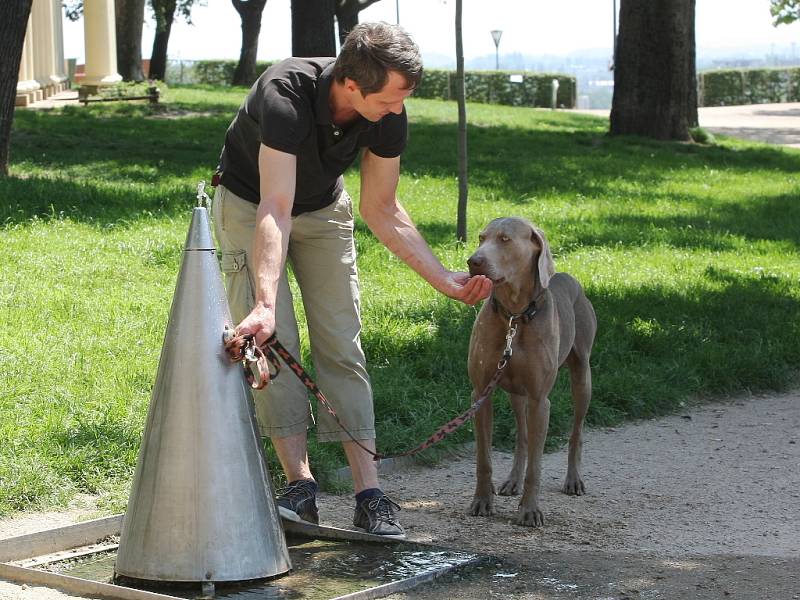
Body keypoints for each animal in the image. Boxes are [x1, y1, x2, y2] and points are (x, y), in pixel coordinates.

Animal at [462, 217, 592, 524]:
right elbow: (484, 458)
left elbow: (537, 464)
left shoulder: (539, 400)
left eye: (505, 239)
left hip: (582, 377)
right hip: (516, 393)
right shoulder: (481, 393)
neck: (515, 316)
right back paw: (513, 481)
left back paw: (573, 480)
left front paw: (530, 510)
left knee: (576, 432)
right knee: (522, 436)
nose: (473, 261)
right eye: (481, 237)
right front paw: (482, 501)